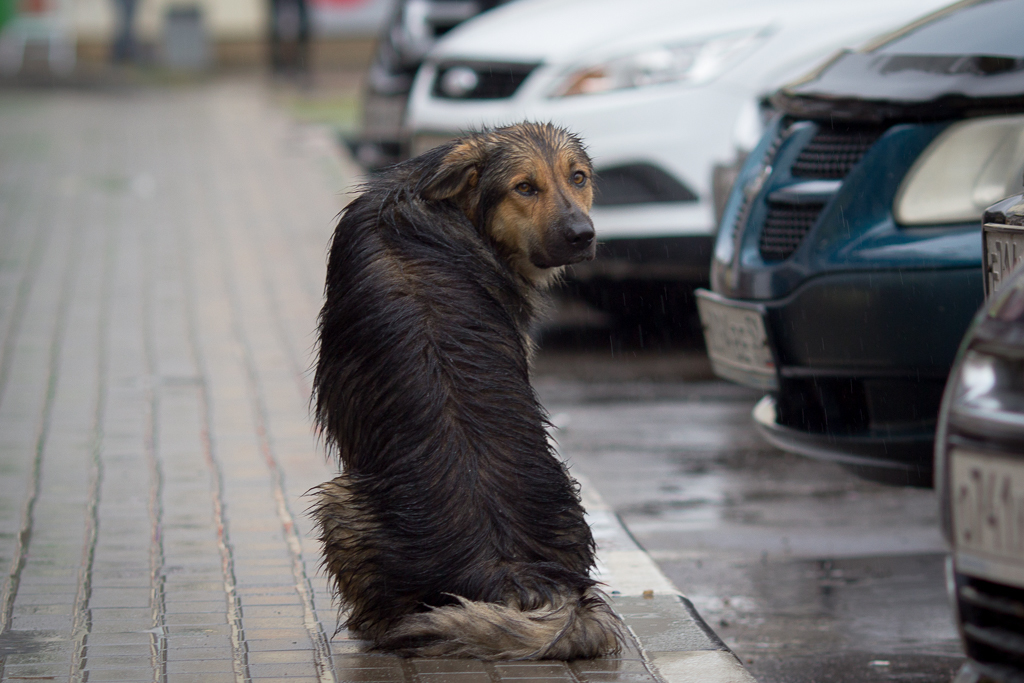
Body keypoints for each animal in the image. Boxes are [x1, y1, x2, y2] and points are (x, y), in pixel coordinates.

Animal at [309, 124, 622, 663]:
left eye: (577, 177)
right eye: (524, 187)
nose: (583, 236)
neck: (436, 204)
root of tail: (505, 571)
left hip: (339, 502)